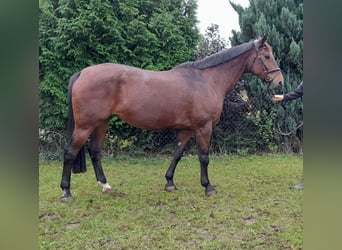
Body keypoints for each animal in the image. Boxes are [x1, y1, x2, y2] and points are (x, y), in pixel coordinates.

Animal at [60, 35, 284, 201]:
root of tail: (82, 73)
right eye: (266, 56)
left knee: (95, 151)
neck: (206, 80)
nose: (279, 81)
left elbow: (177, 154)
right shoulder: (204, 128)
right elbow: (204, 157)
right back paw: (66, 192)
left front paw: (169, 182)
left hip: (101, 123)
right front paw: (208, 187)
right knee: (70, 152)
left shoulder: (186, 129)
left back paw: (105, 185)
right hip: (85, 126)